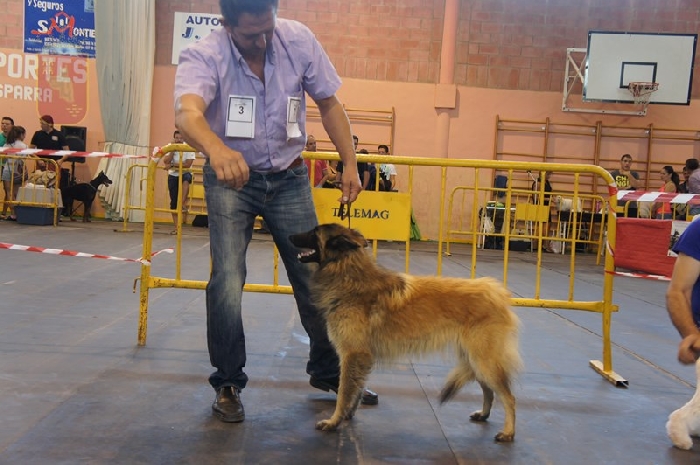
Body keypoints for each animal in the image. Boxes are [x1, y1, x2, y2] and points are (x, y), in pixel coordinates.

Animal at [289, 223, 522, 442]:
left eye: (314, 232)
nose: (290, 236)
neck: (347, 269)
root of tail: (498, 293)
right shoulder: (359, 357)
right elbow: (355, 389)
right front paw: (346, 415)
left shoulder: (352, 354)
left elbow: (345, 391)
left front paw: (333, 421)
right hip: (476, 359)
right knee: (489, 389)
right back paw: (484, 414)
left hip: (484, 360)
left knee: (509, 397)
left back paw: (508, 432)